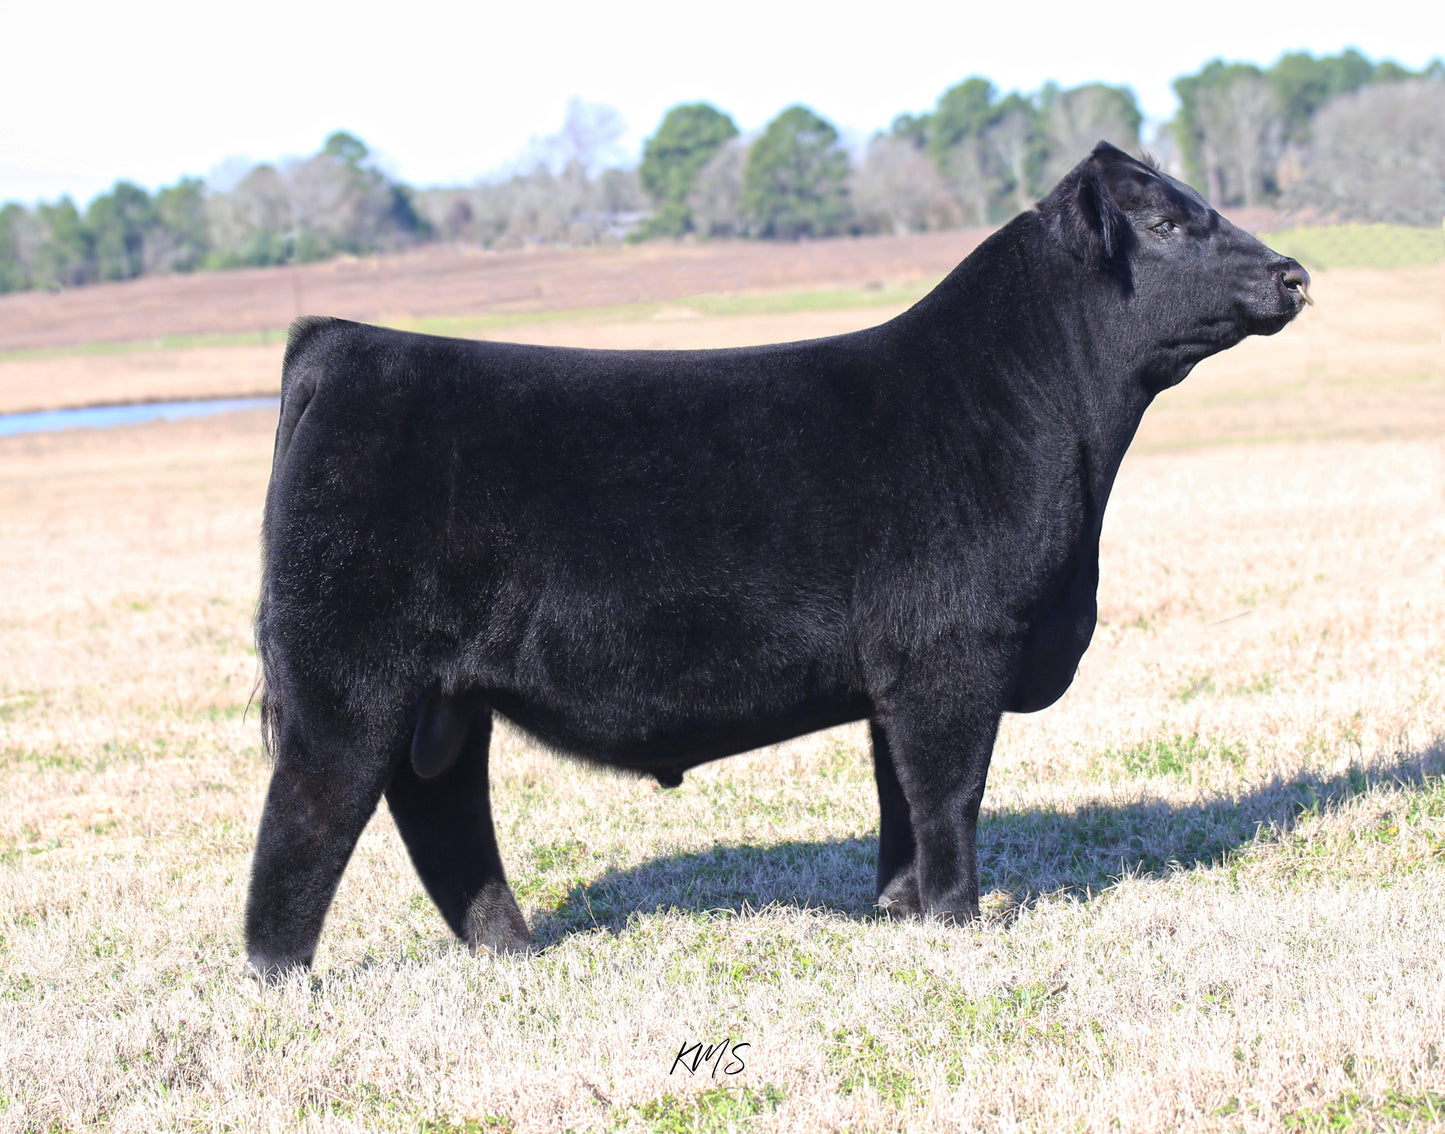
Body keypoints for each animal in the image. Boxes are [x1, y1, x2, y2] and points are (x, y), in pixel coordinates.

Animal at [244, 143, 1310, 977]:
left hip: (446, 699)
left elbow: (898, 802)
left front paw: (898, 912)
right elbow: (948, 794)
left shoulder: (896, 676)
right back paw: (281, 978)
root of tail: (340, 345)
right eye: (1166, 223)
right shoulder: (953, 655)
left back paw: (510, 950)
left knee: (443, 816)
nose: (1293, 273)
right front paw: (957, 918)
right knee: (306, 818)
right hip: (345, 681)